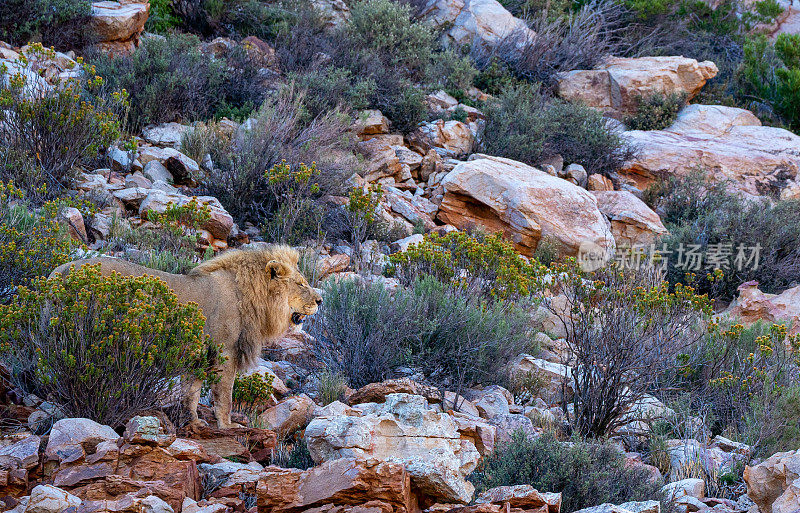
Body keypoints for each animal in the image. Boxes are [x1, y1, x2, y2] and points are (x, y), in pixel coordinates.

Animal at [50, 244, 322, 428]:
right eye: (300, 284)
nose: (320, 300)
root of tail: (57, 272)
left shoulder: (198, 356)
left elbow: (191, 391)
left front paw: (193, 421)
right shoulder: (225, 351)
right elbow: (224, 394)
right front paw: (227, 425)